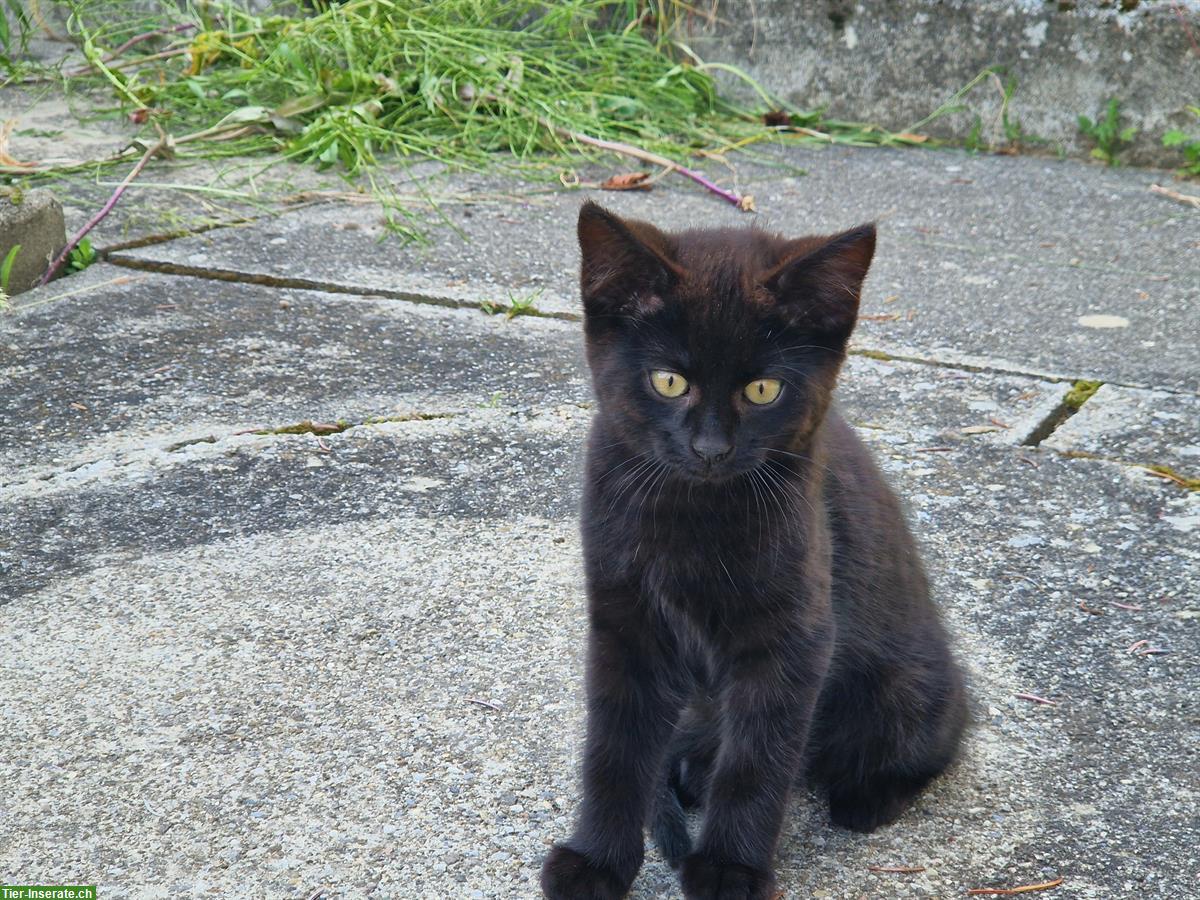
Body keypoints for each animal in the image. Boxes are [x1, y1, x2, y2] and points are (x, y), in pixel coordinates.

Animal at [542, 204, 964, 900]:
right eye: (669, 381)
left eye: (764, 390)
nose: (711, 448)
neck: (694, 513)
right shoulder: (624, 620)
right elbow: (614, 746)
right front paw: (596, 861)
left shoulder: (795, 636)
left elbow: (757, 757)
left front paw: (729, 870)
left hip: (906, 690)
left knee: (929, 742)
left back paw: (867, 795)